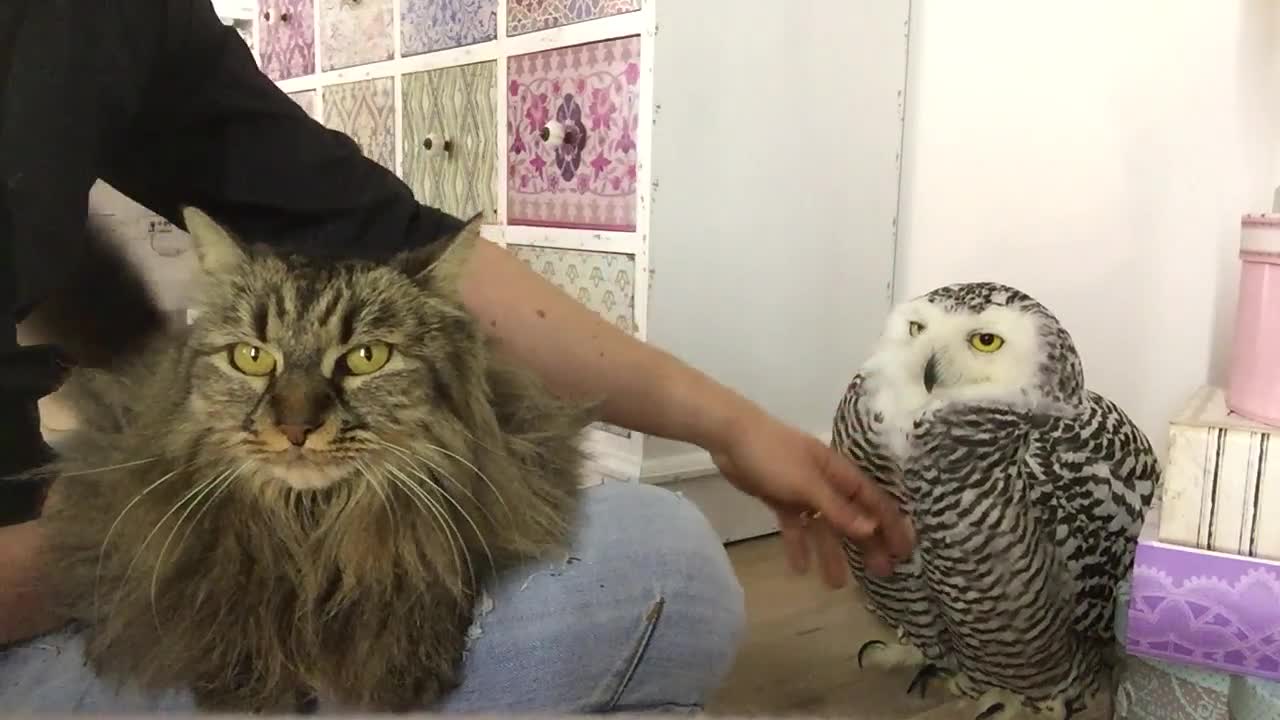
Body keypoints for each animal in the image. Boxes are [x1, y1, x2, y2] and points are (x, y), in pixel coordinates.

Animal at [35, 208, 593, 712]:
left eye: (367, 358)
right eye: (252, 358)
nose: (295, 429)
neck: (311, 522)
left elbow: (418, 581)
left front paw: (401, 663)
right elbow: (227, 596)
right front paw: (247, 681)